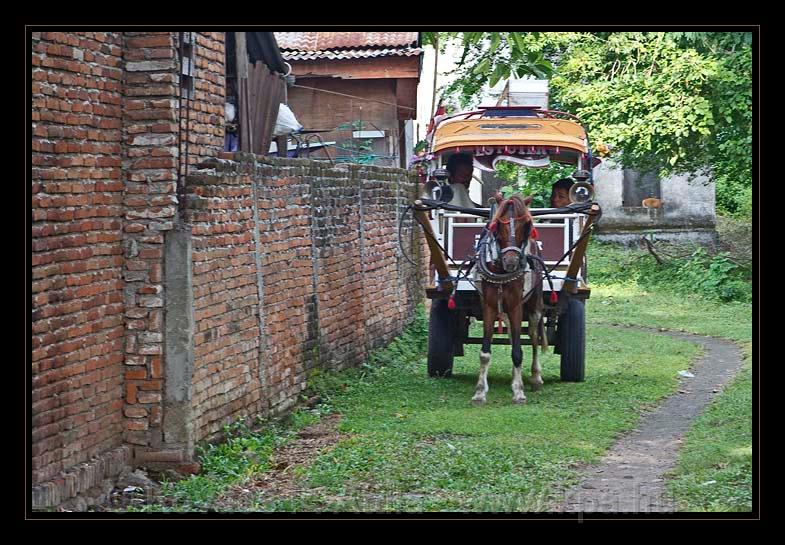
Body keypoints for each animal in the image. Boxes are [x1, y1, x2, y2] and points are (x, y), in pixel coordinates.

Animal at [468, 194, 548, 404]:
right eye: (497, 225)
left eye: (526, 225)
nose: (511, 261)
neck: (501, 271)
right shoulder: (488, 305)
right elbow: (485, 352)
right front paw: (480, 392)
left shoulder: (515, 305)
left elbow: (519, 351)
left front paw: (519, 392)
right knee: (513, 334)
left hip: (534, 304)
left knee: (534, 336)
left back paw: (535, 378)